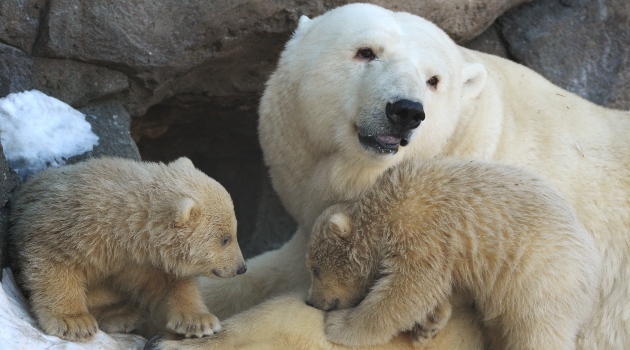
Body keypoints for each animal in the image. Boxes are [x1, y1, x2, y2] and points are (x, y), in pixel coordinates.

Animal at [152, 2, 630, 350]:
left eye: (434, 80)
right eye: (366, 51)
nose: (405, 111)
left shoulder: (481, 248)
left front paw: (184, 342)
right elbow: (265, 270)